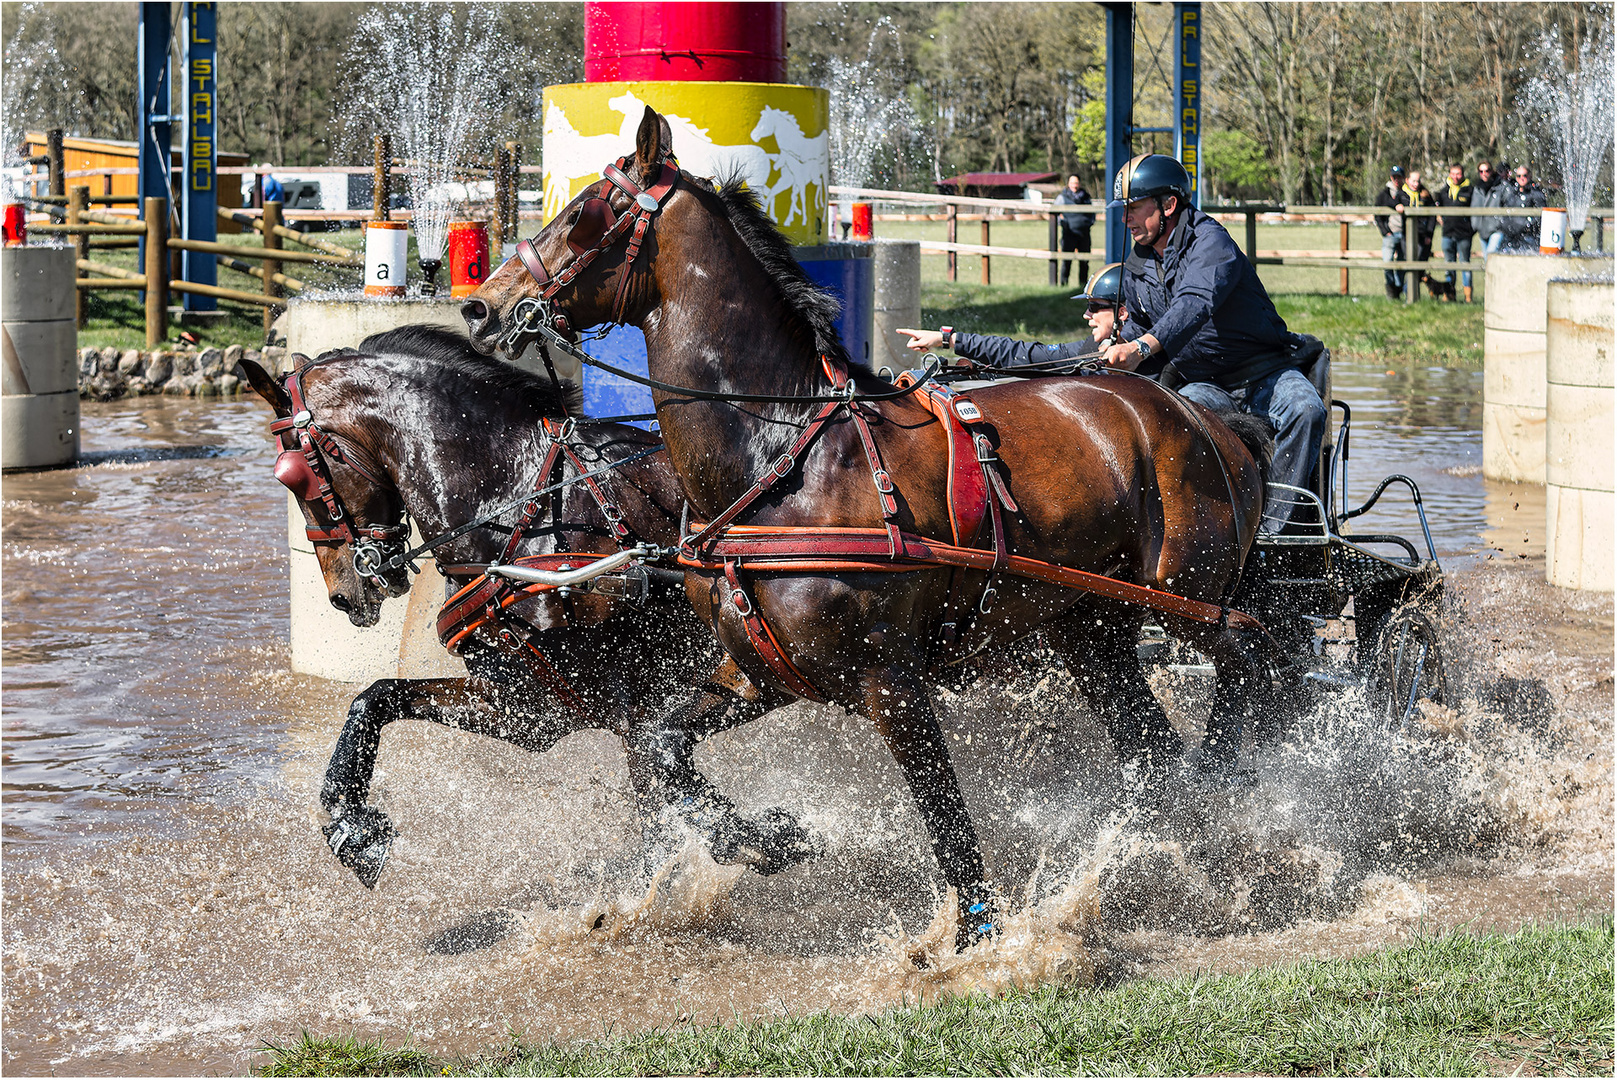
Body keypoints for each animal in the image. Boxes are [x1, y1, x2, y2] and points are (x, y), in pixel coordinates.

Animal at [236, 324, 821, 892]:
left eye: (294, 476)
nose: (342, 594)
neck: (517, 503)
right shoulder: (529, 704)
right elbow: (375, 698)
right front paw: (351, 826)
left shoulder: (629, 694)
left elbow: (664, 777)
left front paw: (771, 838)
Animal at [465, 113, 1274, 950]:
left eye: (586, 212)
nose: (482, 307)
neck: (783, 453)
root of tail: (1211, 421)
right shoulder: (761, 671)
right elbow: (661, 747)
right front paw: (769, 839)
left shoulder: (892, 679)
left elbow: (943, 812)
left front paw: (975, 938)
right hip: (1091, 627)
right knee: (1152, 751)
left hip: (1181, 592)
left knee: (1248, 650)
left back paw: (1222, 778)